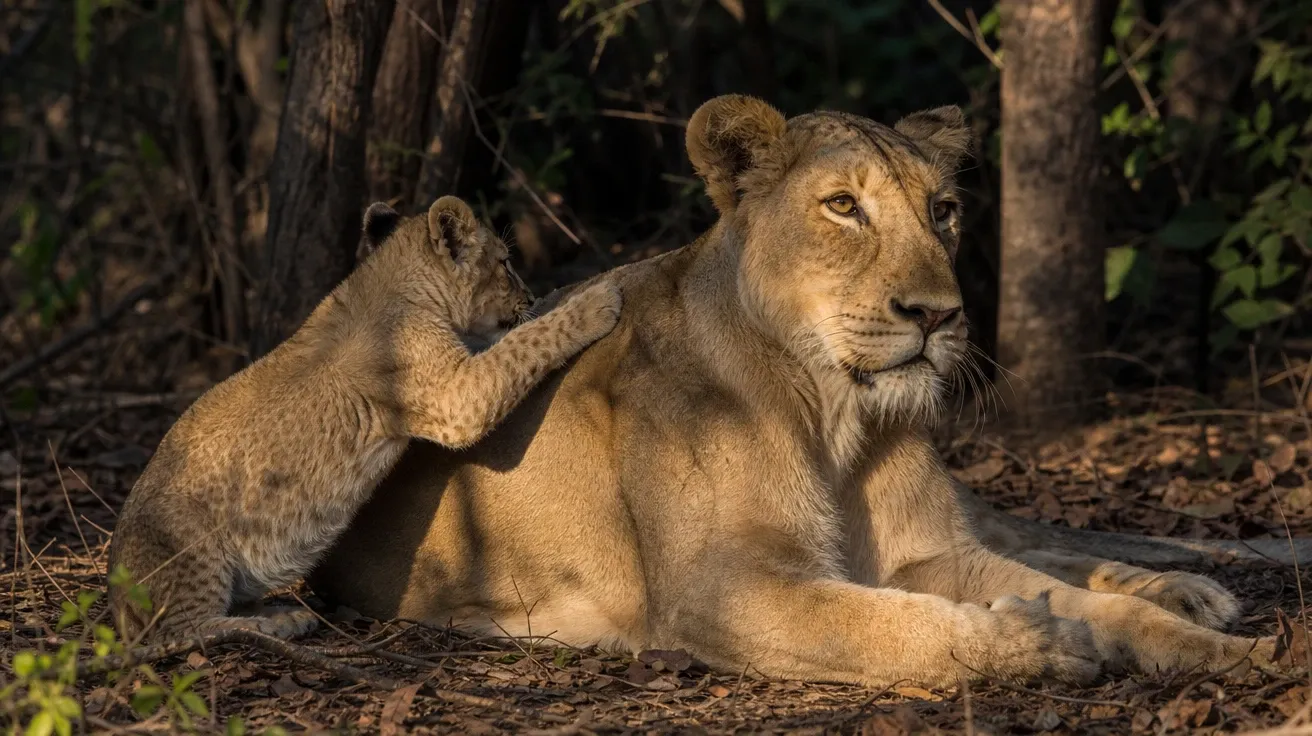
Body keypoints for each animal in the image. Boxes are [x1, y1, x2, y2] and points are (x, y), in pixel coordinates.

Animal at [310, 95, 1305, 687]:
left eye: (943, 211)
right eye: (843, 207)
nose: (938, 315)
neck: (839, 417)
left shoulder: (921, 551)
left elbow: (1067, 592)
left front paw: (1229, 648)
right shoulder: (722, 590)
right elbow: (899, 627)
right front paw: (1042, 645)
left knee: (1046, 540)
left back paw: (1190, 590)